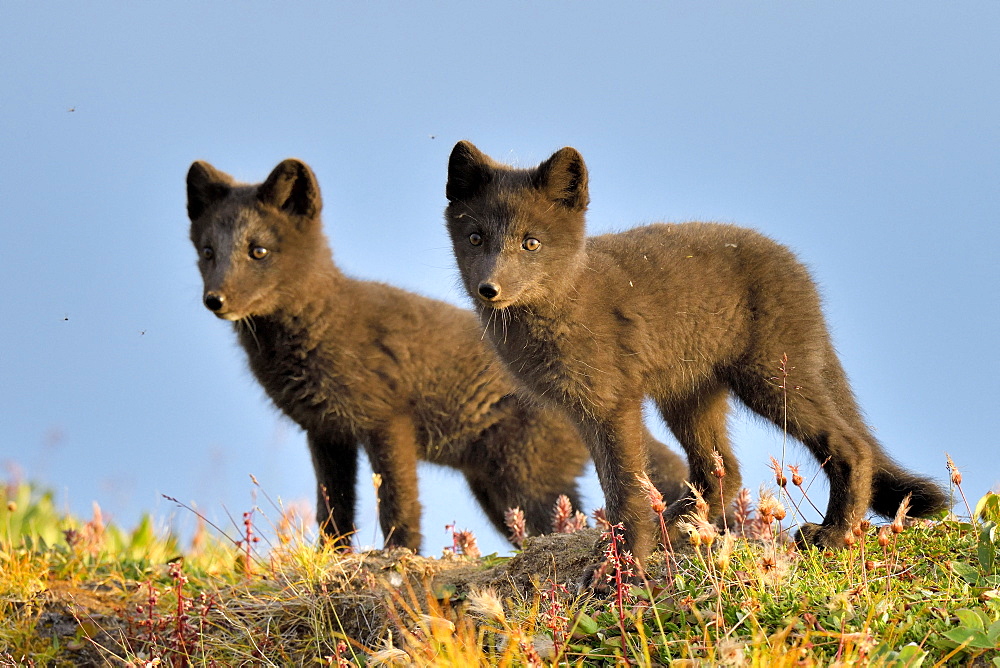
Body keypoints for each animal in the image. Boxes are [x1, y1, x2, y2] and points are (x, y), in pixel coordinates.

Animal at [186, 158, 688, 552]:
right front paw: (334, 560)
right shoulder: (326, 432)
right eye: (207, 252)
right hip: (495, 490)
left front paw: (398, 559)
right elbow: (333, 513)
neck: (319, 328)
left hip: (525, 479)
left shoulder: (387, 421)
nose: (214, 301)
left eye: (258, 251)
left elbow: (397, 506)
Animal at [446, 141, 944, 576]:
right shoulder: (586, 412)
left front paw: (623, 569)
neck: (561, 305)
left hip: (770, 381)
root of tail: (796, 268)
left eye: (531, 243)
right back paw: (680, 526)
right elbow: (619, 487)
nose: (489, 289)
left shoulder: (613, 404)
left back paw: (834, 534)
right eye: (475, 238)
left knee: (851, 445)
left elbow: (625, 491)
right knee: (724, 471)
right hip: (689, 396)